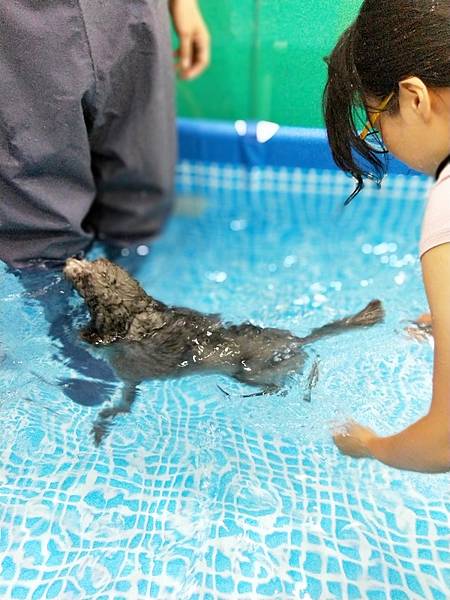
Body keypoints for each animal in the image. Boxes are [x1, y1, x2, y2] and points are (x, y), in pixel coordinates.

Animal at [64, 258, 384, 446]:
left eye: (86, 276)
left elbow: (120, 404)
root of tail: (298, 340)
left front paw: (100, 428)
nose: (70, 261)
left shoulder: (129, 373)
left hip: (250, 372)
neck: (136, 314)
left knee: (278, 383)